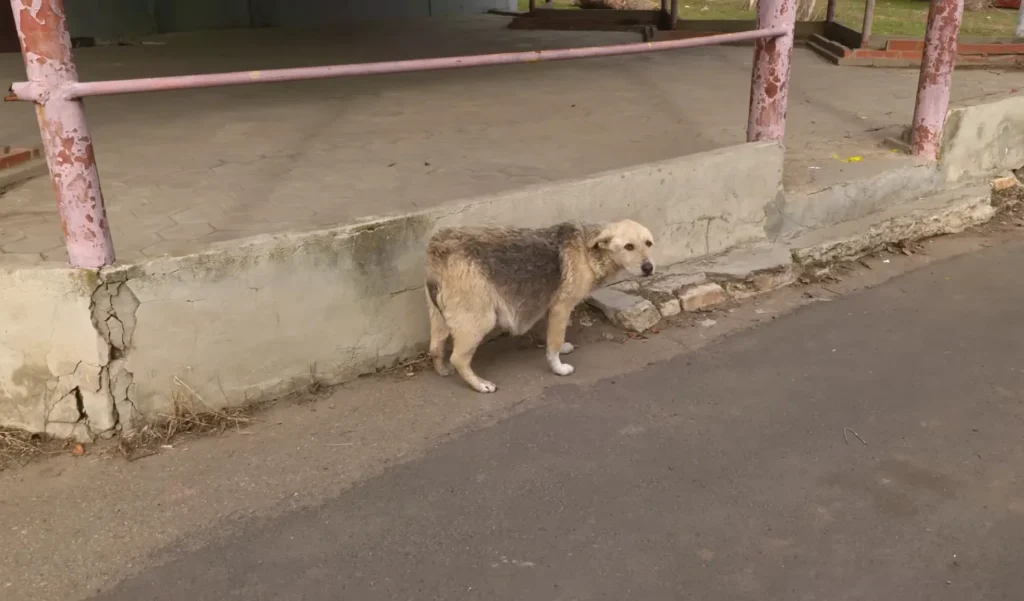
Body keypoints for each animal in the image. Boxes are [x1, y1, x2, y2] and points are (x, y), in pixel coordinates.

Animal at [423, 219, 655, 393]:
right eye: (629, 246)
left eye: (649, 243)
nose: (649, 268)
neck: (588, 251)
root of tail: (438, 249)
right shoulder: (562, 307)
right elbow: (554, 342)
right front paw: (558, 367)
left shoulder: (551, 308)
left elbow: (554, 336)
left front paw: (561, 348)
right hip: (480, 320)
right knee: (458, 358)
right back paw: (480, 384)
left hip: (440, 316)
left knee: (435, 347)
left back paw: (442, 369)